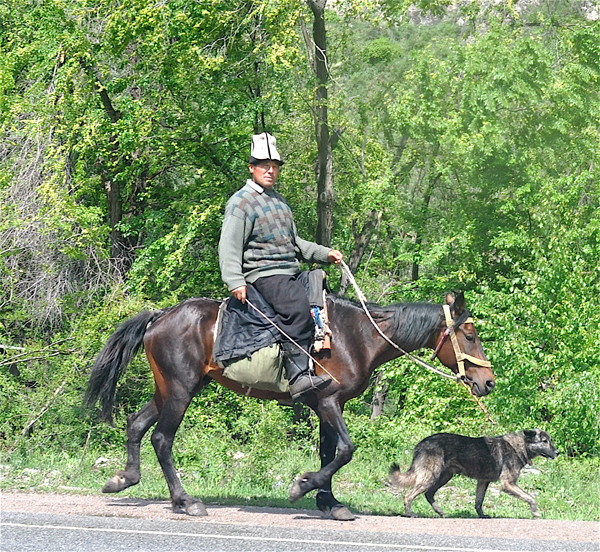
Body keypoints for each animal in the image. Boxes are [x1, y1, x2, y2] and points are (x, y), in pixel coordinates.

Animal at [85, 292, 496, 520]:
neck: (357, 336)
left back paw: (124, 478)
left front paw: (330, 503)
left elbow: (330, 451)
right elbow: (345, 450)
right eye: (469, 335)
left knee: (137, 425)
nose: (488, 381)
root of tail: (160, 316)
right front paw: (304, 487)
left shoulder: (328, 406)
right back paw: (185, 500)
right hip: (180, 391)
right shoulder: (328, 401)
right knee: (162, 440)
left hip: (170, 389)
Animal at [392, 432, 560, 516]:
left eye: (550, 440)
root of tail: (421, 444)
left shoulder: (483, 482)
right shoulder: (508, 484)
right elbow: (531, 497)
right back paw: (410, 514)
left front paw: (482, 516)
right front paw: (535, 512)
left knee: (428, 494)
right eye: (544, 441)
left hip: (443, 477)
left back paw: (440, 512)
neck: (519, 446)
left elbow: (478, 502)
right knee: (408, 495)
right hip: (431, 476)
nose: (558, 452)